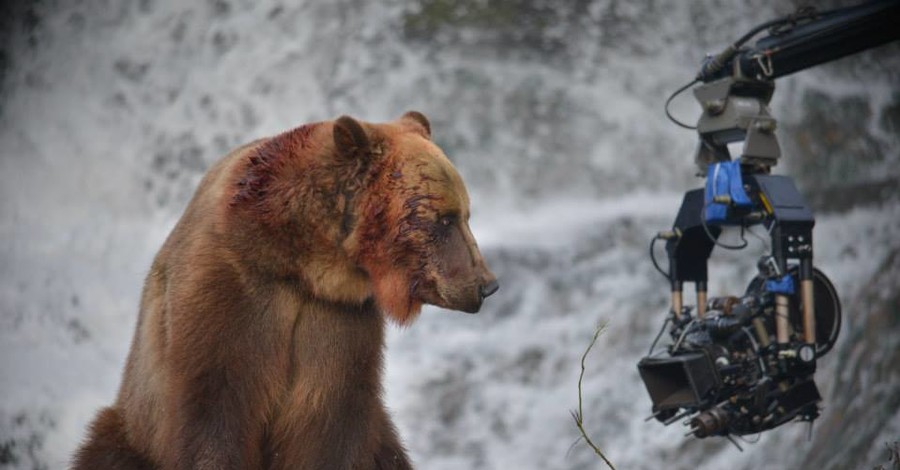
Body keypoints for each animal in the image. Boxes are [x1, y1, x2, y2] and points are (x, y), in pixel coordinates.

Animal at [72, 112, 500, 468]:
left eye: (466, 214)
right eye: (444, 219)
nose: (487, 285)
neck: (300, 264)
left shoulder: (337, 324)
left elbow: (327, 425)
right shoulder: (229, 299)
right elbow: (213, 414)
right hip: (132, 427)